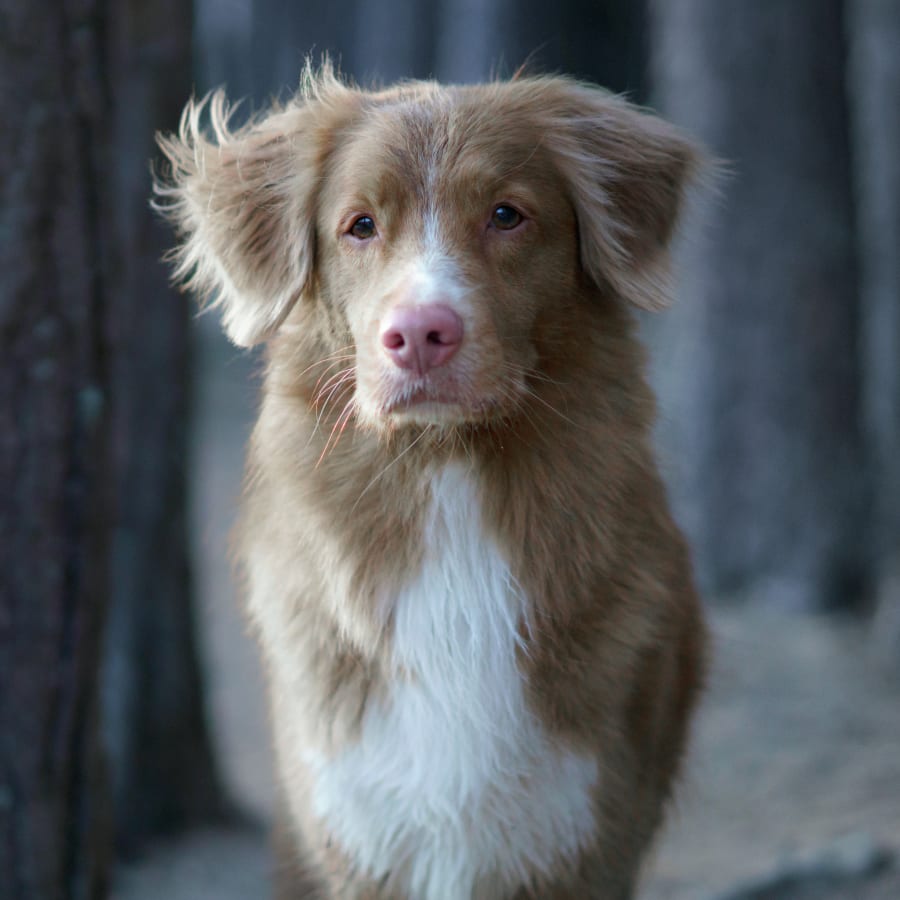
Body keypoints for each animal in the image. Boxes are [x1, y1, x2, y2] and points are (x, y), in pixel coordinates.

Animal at [156, 65, 712, 900]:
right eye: (359, 226)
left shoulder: (584, 830)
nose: (419, 333)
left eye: (507, 215)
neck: (443, 471)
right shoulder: (354, 828)